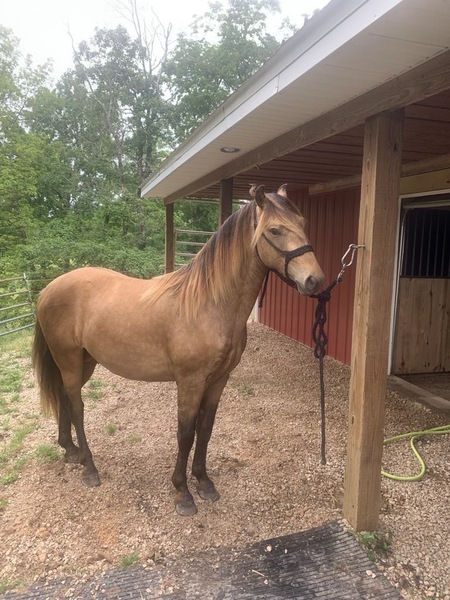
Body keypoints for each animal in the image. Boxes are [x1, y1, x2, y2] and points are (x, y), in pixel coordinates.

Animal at [33, 184, 326, 516]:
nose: (315, 280)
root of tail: (48, 289)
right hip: (69, 359)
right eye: (275, 230)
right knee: (78, 407)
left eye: (302, 223)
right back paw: (89, 467)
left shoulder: (218, 381)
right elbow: (185, 434)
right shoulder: (190, 382)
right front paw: (182, 492)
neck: (209, 304)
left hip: (84, 362)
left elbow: (206, 428)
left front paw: (204, 482)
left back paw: (70, 451)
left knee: (64, 397)